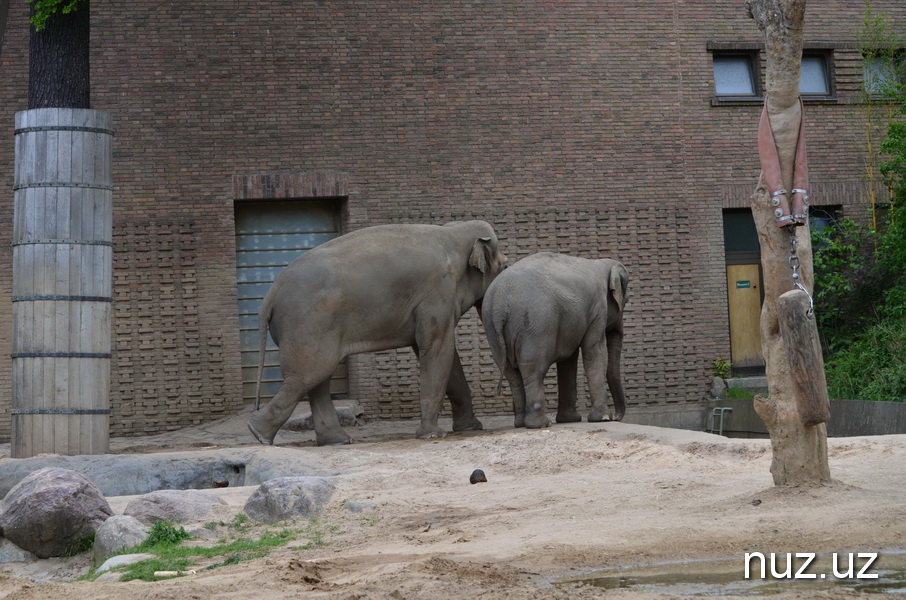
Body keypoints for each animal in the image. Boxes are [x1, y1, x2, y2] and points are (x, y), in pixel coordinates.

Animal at [245, 220, 508, 446]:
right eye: (504, 266)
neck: (453, 233)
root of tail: (271, 293)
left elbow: (443, 354)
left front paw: (470, 428)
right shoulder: (437, 293)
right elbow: (437, 348)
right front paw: (433, 435)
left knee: (318, 379)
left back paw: (335, 440)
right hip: (307, 324)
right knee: (308, 376)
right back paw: (258, 434)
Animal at [480, 253, 628, 432]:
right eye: (626, 301)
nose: (616, 417)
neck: (601, 263)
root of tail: (499, 302)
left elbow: (568, 360)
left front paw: (570, 420)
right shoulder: (598, 310)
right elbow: (593, 352)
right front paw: (603, 418)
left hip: (492, 330)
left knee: (512, 374)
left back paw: (521, 423)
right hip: (536, 326)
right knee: (533, 371)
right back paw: (540, 424)